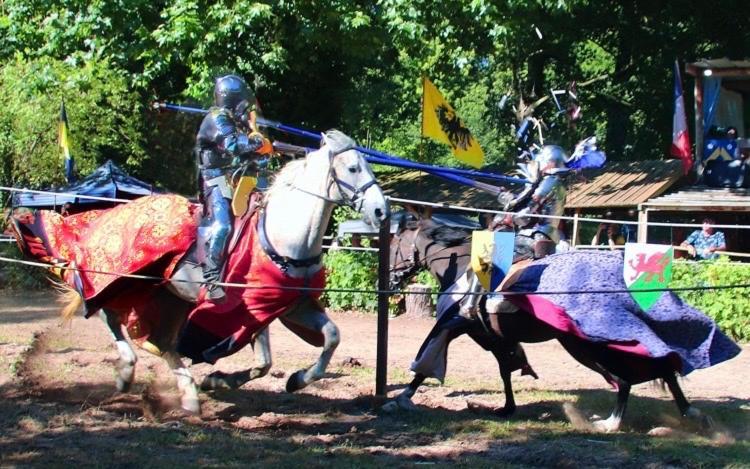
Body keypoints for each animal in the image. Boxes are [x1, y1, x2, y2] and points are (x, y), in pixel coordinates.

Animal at [390, 214, 744, 430]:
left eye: (395, 246)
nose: (391, 279)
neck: (465, 266)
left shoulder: (457, 324)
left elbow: (427, 356)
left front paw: (402, 398)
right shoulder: (496, 337)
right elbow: (506, 370)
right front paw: (507, 407)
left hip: (584, 342)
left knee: (629, 377)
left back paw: (609, 423)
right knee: (662, 366)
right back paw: (690, 414)